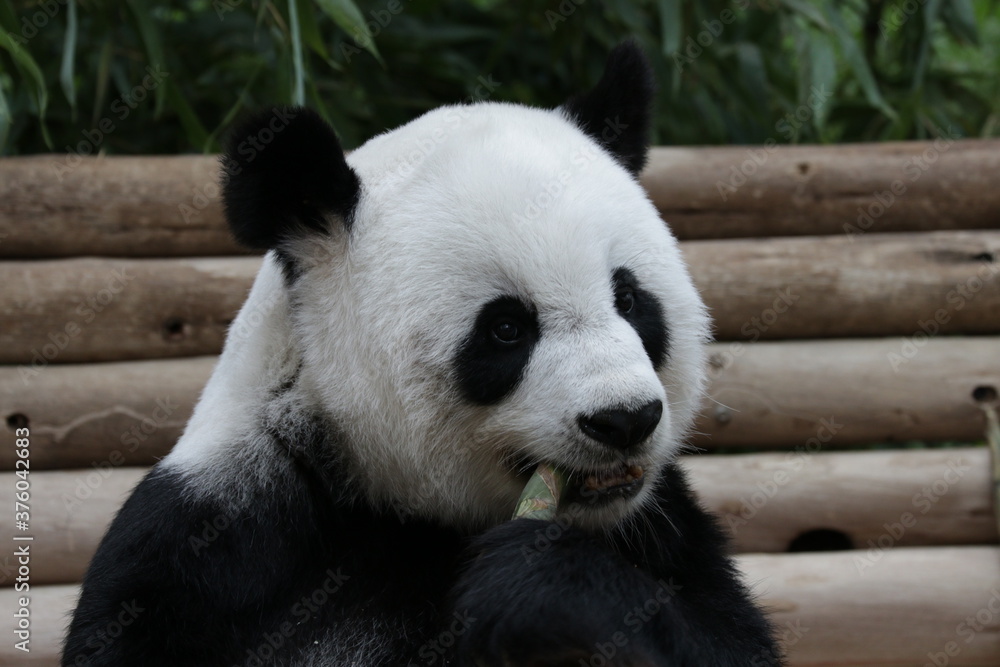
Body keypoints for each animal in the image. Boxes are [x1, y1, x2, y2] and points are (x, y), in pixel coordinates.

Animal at [64, 43, 780, 667]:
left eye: (629, 299)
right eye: (506, 329)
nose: (625, 419)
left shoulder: (664, 529)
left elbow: (727, 643)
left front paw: (545, 586)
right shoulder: (213, 538)